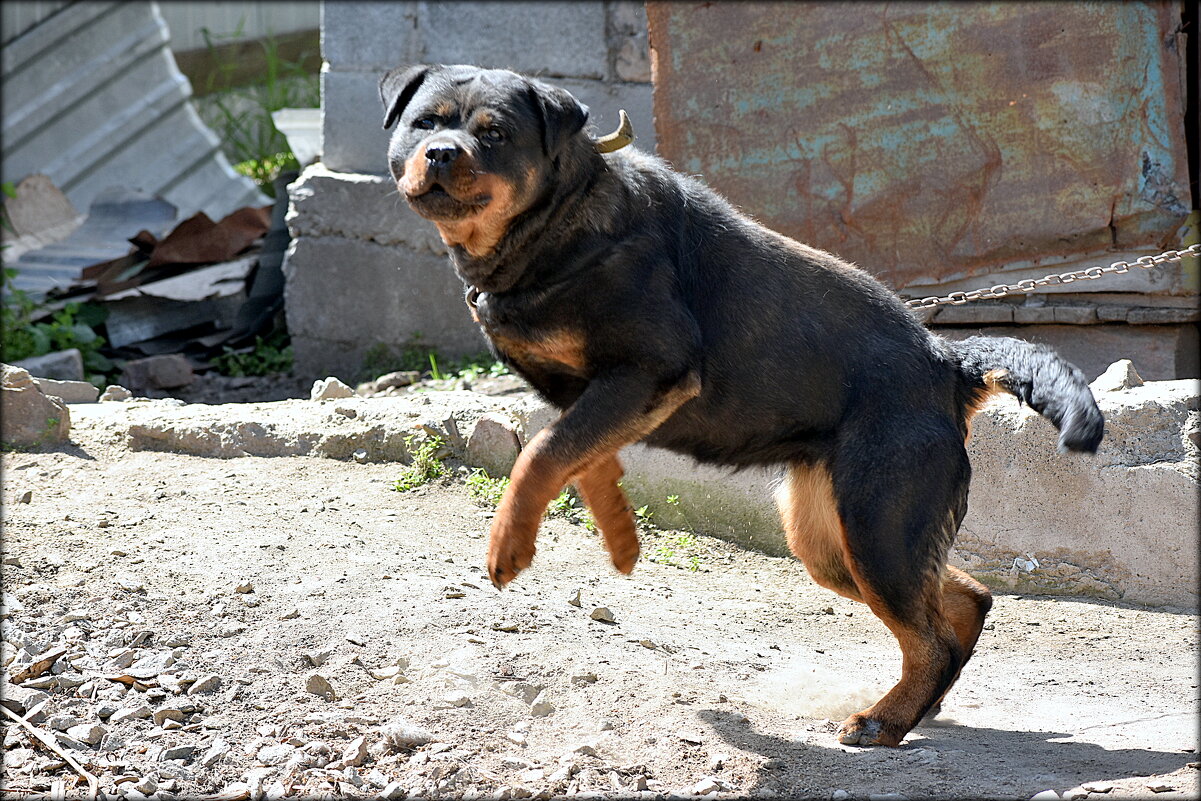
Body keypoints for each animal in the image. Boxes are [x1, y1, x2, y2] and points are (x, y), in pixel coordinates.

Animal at [379, 65, 1100, 749]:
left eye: (495, 134)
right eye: (424, 124)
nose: (440, 153)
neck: (558, 224)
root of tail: (945, 365)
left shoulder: (651, 370)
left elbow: (537, 453)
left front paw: (509, 542)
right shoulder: (597, 397)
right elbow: (571, 453)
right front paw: (611, 528)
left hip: (877, 528)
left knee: (931, 637)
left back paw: (883, 721)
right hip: (831, 541)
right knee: (964, 599)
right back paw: (916, 706)